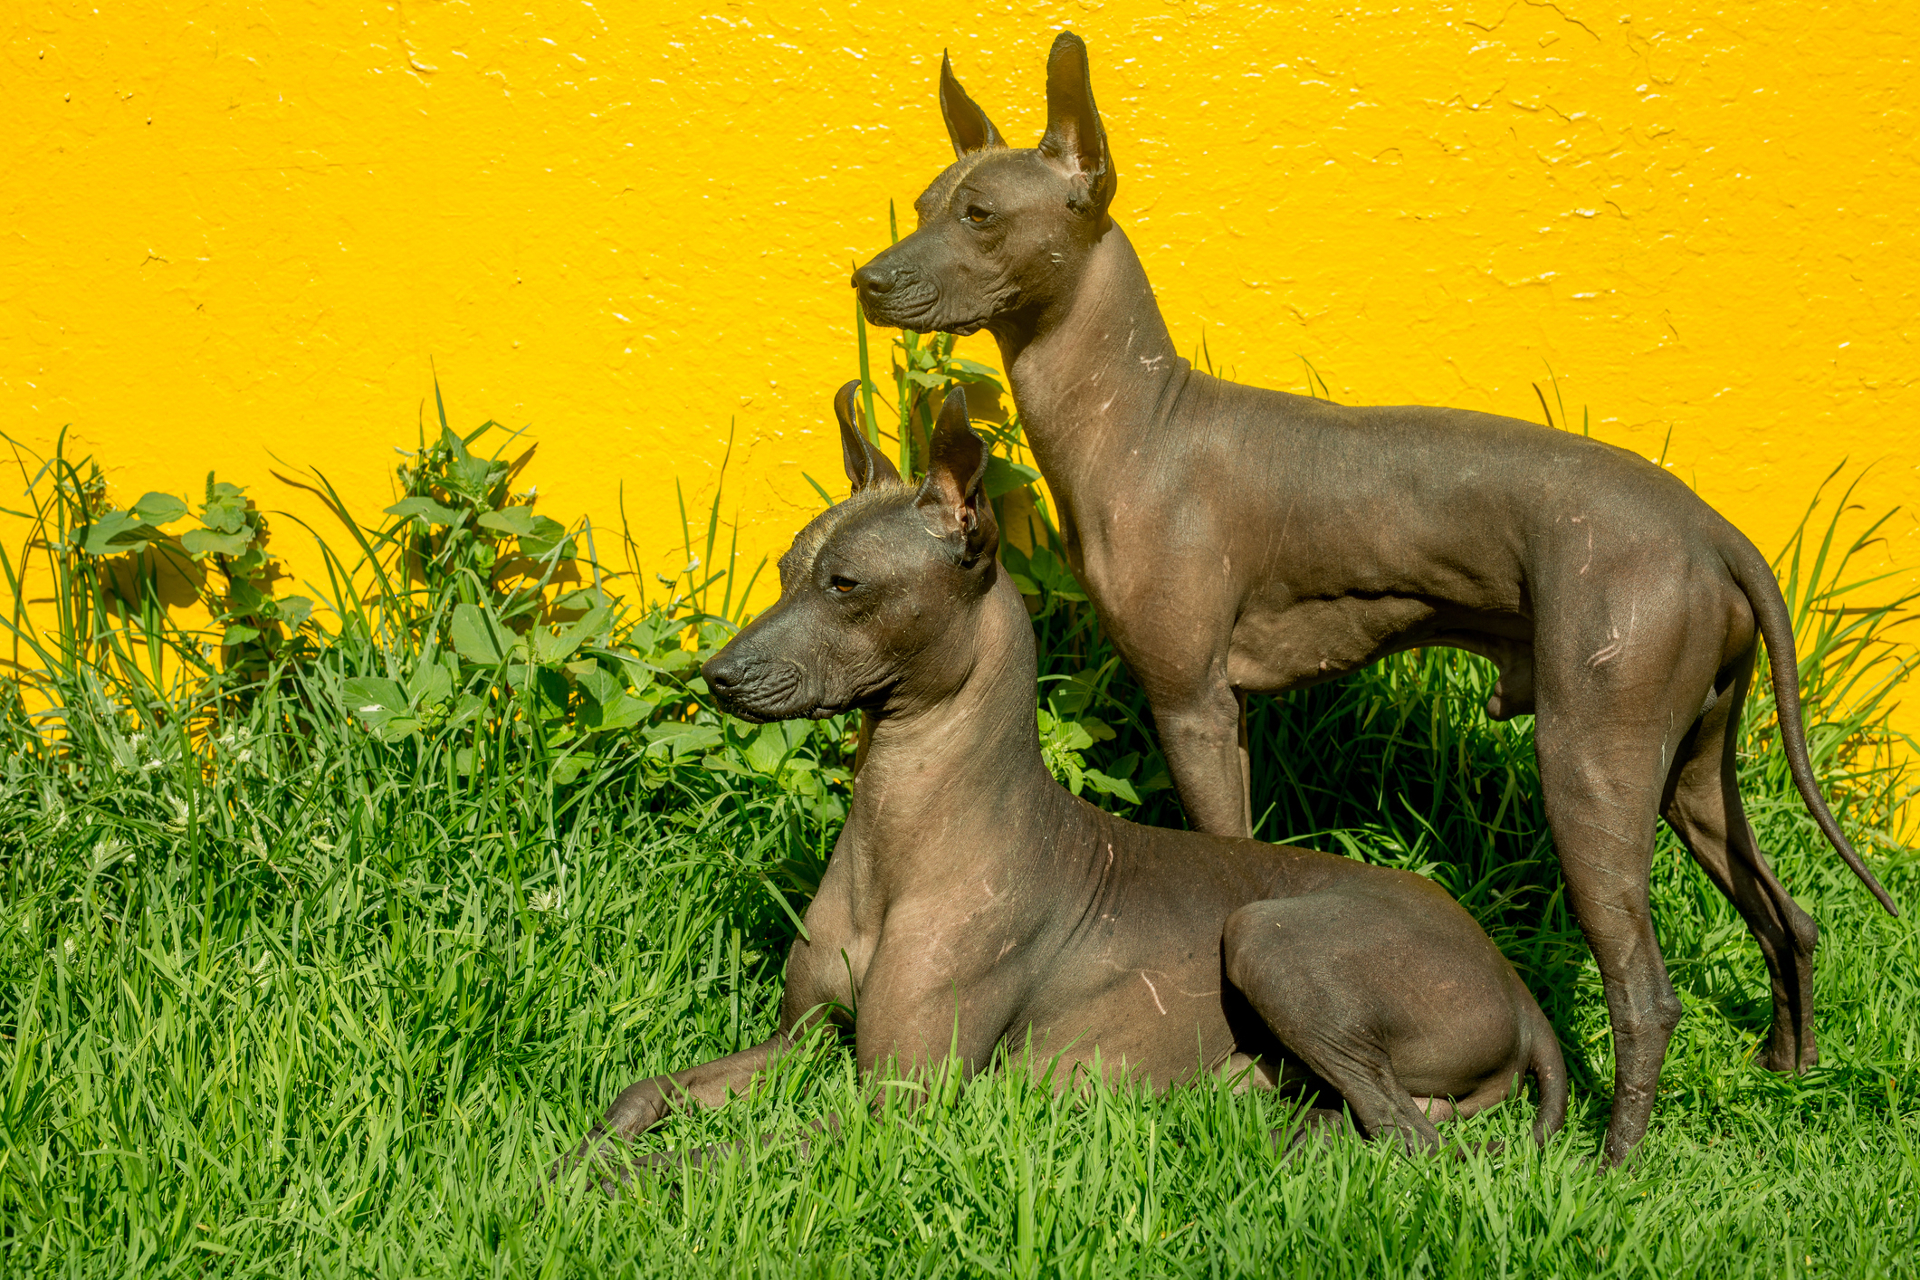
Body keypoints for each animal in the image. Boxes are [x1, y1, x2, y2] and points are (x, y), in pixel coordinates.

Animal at [560, 387, 1566, 1182]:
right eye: (784, 572)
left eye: (845, 586)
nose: (717, 675)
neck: (899, 834)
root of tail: (1516, 986)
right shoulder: (797, 1040)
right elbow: (643, 1093)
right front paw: (578, 1149)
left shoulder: (897, 1104)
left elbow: (722, 1153)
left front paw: (611, 1179)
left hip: (1270, 936)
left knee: (1407, 1136)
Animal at [848, 35, 1896, 1166]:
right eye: (925, 202)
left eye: (981, 215)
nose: (867, 279)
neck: (1141, 421)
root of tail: (1712, 529)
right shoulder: (1229, 711)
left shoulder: (1192, 705)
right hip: (1691, 768)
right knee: (1788, 916)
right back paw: (1788, 1075)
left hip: (1592, 764)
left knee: (1647, 991)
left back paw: (1611, 1166)